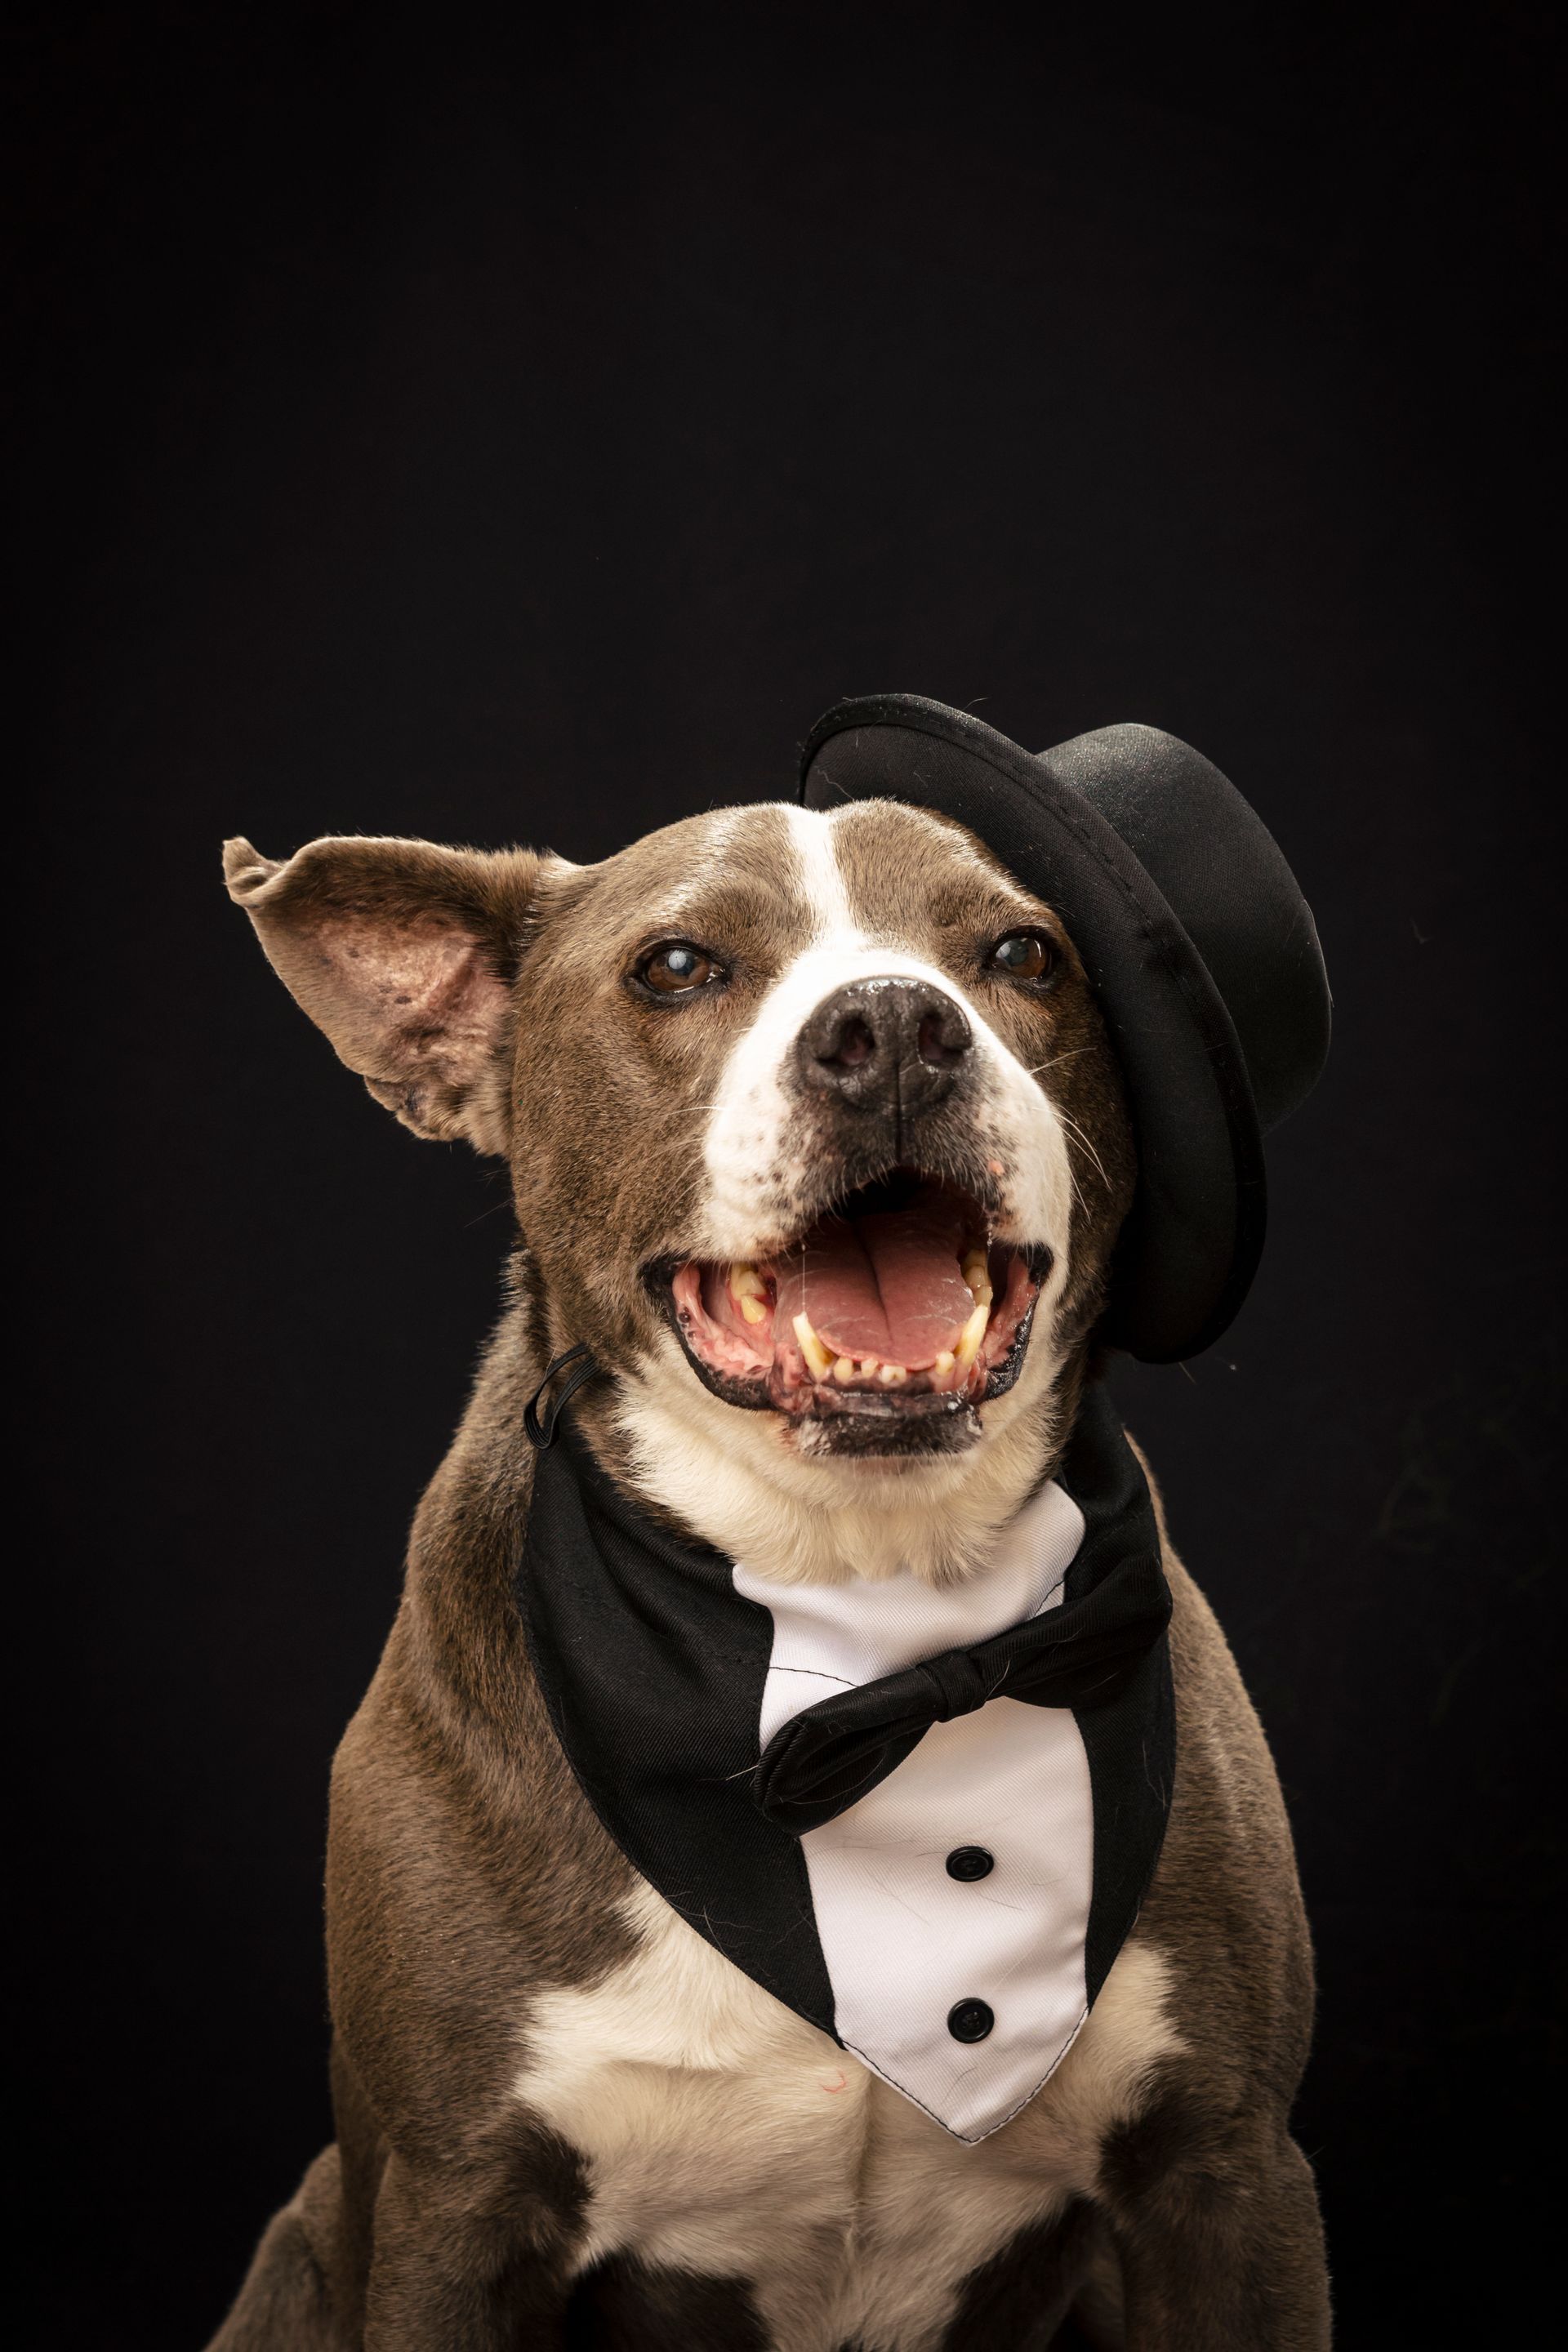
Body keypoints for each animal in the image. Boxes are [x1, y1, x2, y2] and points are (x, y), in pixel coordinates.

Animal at [207, 718, 1331, 2349]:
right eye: (679, 965)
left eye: (1024, 953)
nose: (897, 1029)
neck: (862, 1602)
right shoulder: (450, 2206)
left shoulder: (1230, 2174)